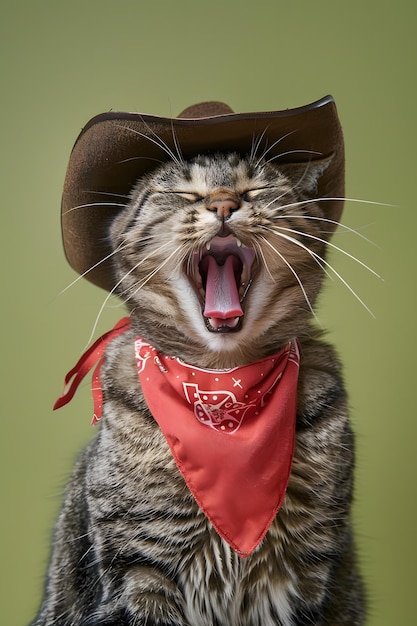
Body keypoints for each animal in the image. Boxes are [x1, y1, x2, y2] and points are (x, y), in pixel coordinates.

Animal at [30, 100, 366, 620]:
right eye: (182, 192)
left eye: (256, 188)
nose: (224, 205)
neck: (222, 388)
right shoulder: (136, 569)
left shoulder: (309, 573)